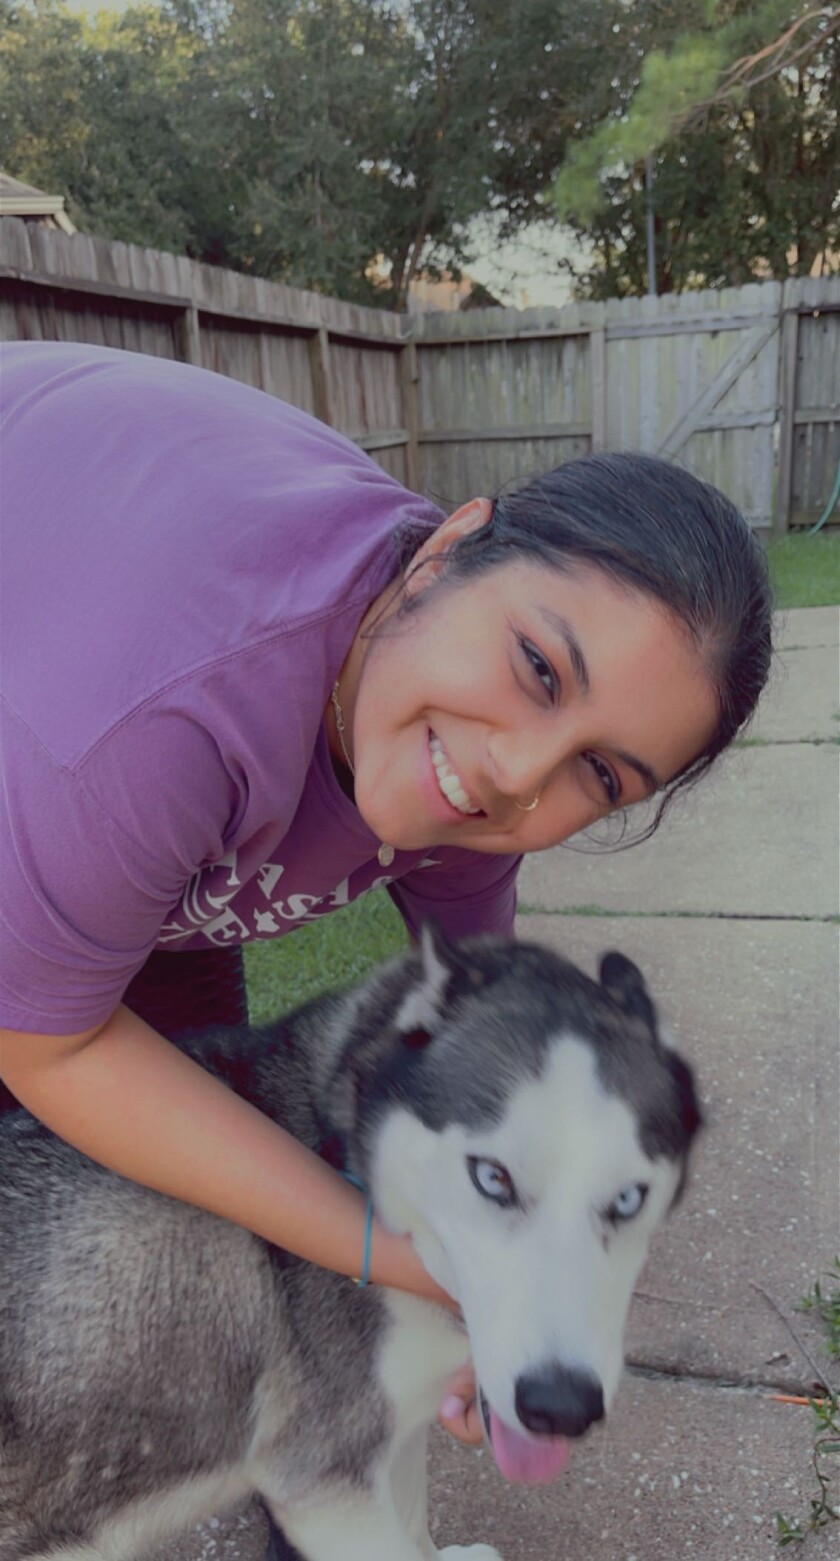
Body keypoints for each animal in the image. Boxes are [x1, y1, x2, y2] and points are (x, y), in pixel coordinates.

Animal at [0, 930, 699, 1554]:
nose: (562, 1407)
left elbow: (413, 1519)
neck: (342, 1145)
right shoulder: (321, 1483)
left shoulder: (397, 1425)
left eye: (628, 1200)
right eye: (492, 1177)